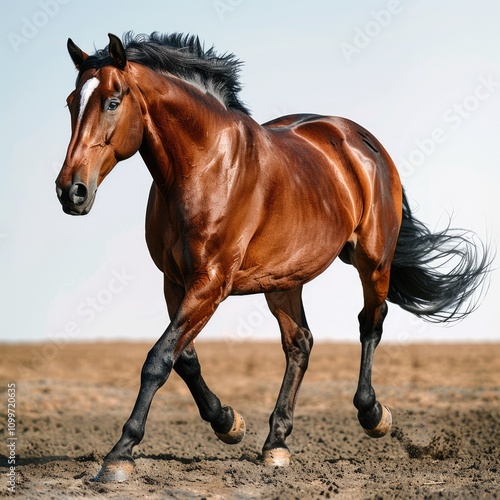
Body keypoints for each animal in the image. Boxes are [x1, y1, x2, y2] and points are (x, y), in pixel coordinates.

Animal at [54, 30, 488, 480]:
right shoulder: (175, 281)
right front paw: (229, 422)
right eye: (70, 102)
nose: (71, 191)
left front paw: (120, 453)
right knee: (300, 343)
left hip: (372, 261)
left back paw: (373, 415)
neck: (203, 166)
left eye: (112, 101)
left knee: (370, 322)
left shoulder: (211, 281)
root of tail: (362, 141)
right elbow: (184, 359)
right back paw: (276, 443)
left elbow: (158, 359)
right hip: (284, 279)